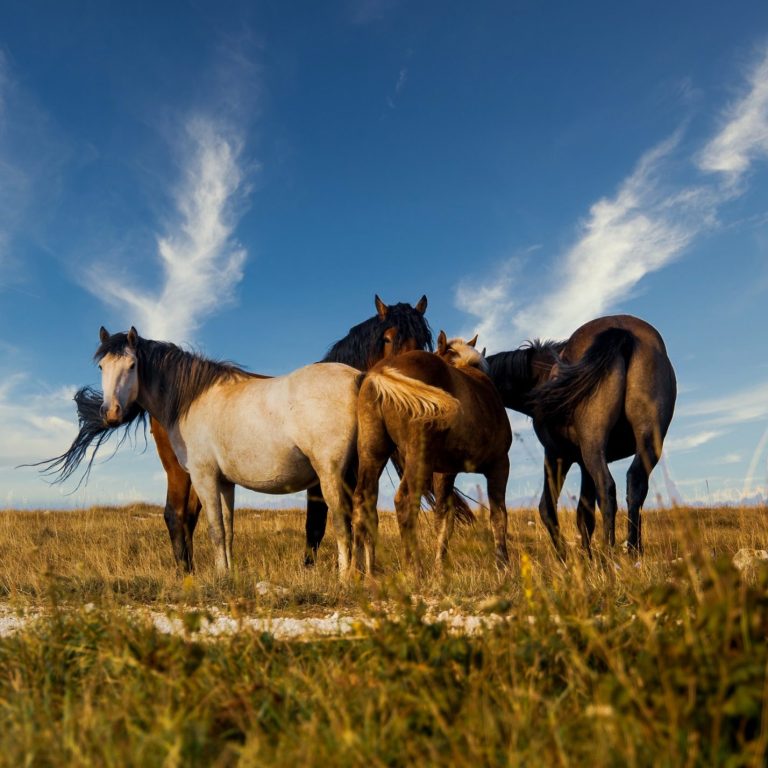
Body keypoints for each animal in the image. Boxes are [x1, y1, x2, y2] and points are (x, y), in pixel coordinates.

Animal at [94, 328, 364, 572]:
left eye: (132, 365)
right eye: (101, 367)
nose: (111, 413)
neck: (191, 401)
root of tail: (356, 377)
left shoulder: (204, 478)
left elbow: (215, 530)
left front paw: (220, 575)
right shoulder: (225, 483)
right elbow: (228, 531)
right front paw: (228, 573)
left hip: (330, 475)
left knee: (342, 524)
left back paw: (345, 578)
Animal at [352, 332, 510, 576]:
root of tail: (382, 371)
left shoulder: (445, 472)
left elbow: (444, 519)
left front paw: (439, 567)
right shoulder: (500, 465)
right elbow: (498, 515)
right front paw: (503, 567)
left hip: (372, 452)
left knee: (363, 500)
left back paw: (362, 572)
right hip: (418, 456)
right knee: (405, 501)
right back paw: (414, 569)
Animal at [486, 316, 680, 556]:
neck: (541, 376)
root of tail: (621, 331)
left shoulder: (558, 455)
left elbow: (549, 508)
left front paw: (566, 557)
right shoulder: (582, 464)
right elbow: (584, 514)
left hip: (592, 446)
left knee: (607, 490)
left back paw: (608, 552)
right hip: (647, 442)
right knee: (635, 485)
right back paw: (634, 551)